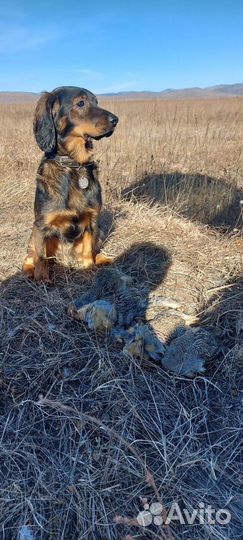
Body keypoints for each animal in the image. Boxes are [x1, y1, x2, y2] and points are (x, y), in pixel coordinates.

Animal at [23, 86, 118, 280]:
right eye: (81, 103)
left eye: (97, 102)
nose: (116, 120)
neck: (73, 165)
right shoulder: (41, 225)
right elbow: (41, 257)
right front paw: (42, 278)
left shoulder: (92, 220)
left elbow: (88, 250)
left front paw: (89, 269)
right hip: (32, 233)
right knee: (30, 255)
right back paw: (29, 270)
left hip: (99, 231)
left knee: (95, 249)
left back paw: (102, 259)